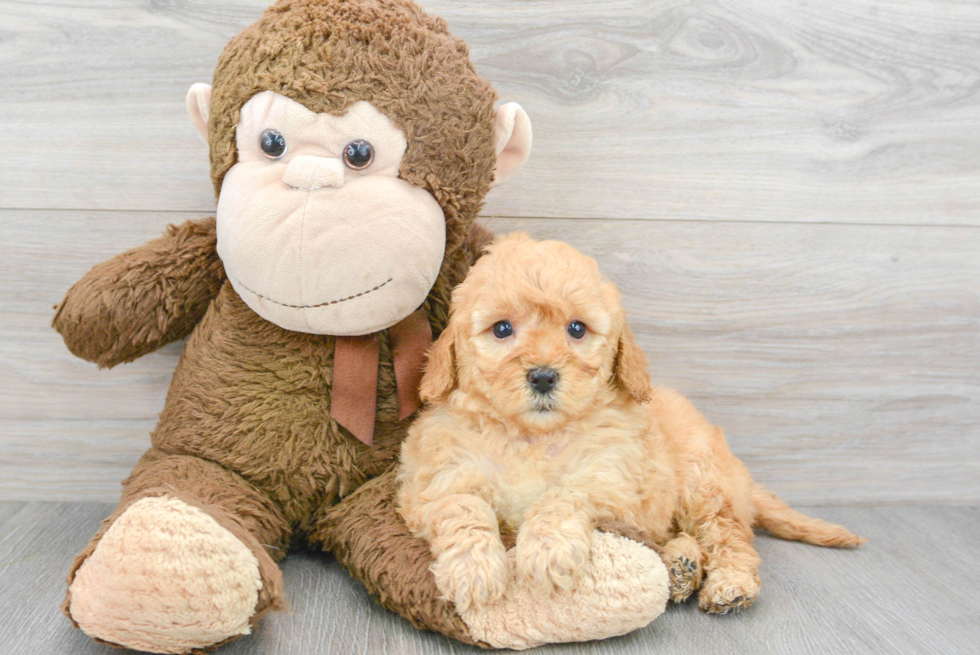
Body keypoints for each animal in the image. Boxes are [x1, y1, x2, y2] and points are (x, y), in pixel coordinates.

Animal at [394, 234, 860, 616]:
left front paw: (546, 550)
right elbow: (463, 507)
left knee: (729, 538)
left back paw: (730, 584)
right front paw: (472, 570)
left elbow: (563, 495)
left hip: (704, 484)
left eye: (576, 329)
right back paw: (682, 565)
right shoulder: (434, 483)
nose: (543, 376)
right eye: (503, 329)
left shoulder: (612, 483)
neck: (532, 436)